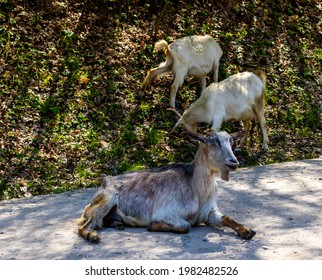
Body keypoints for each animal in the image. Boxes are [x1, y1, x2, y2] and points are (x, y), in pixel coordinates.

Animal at [76, 131, 255, 243]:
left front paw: (247, 231)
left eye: (231, 142)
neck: (195, 188)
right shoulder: (166, 212)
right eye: (213, 142)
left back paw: (118, 224)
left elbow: (226, 218)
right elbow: (185, 226)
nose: (233, 162)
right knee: (83, 225)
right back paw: (93, 236)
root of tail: (106, 180)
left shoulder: (209, 212)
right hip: (106, 199)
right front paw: (153, 226)